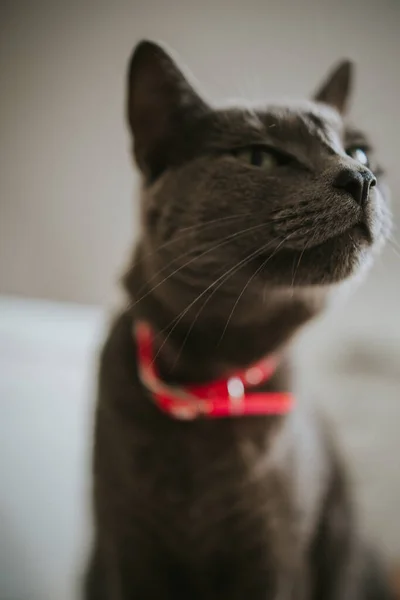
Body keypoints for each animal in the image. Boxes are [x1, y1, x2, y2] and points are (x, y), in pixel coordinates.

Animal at [83, 39, 394, 596]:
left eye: (359, 152)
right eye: (259, 156)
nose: (361, 176)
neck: (212, 379)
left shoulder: (276, 556)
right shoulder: (126, 551)